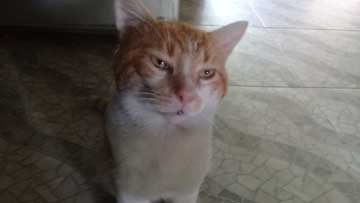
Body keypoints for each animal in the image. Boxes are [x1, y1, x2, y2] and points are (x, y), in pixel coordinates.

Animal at [105, 0, 248, 202]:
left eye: (207, 73)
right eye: (160, 63)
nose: (186, 95)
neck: (167, 139)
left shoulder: (187, 192)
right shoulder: (130, 192)